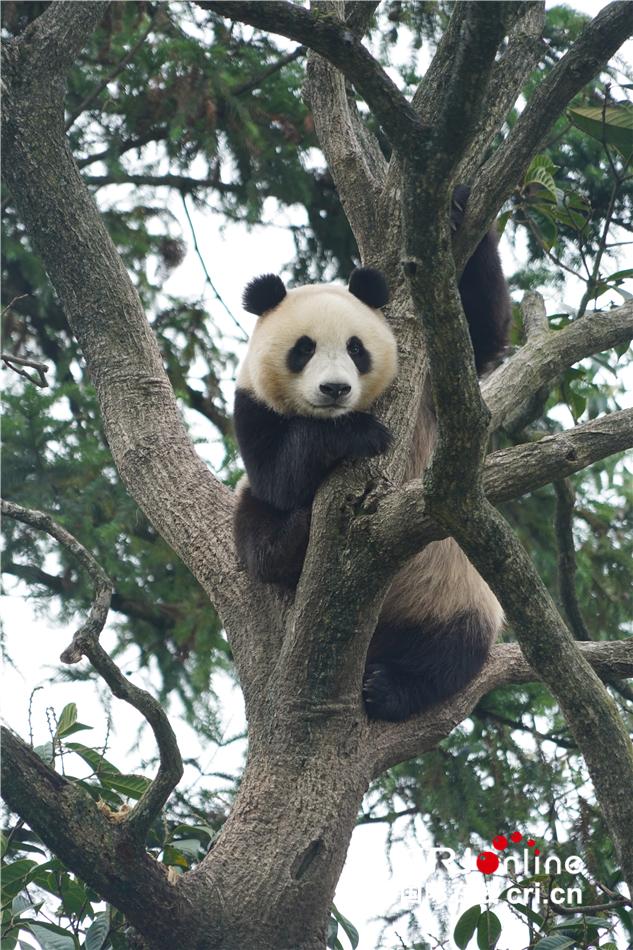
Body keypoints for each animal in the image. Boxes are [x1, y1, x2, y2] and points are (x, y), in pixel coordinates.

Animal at [232, 186, 508, 720]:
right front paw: (354, 435)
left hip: (456, 590)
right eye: (303, 349)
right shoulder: (253, 406)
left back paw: (387, 687)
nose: (335, 389)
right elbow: (276, 476)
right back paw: (293, 540)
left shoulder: (429, 387)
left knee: (451, 650)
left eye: (355, 348)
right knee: (255, 525)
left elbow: (480, 334)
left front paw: (455, 209)